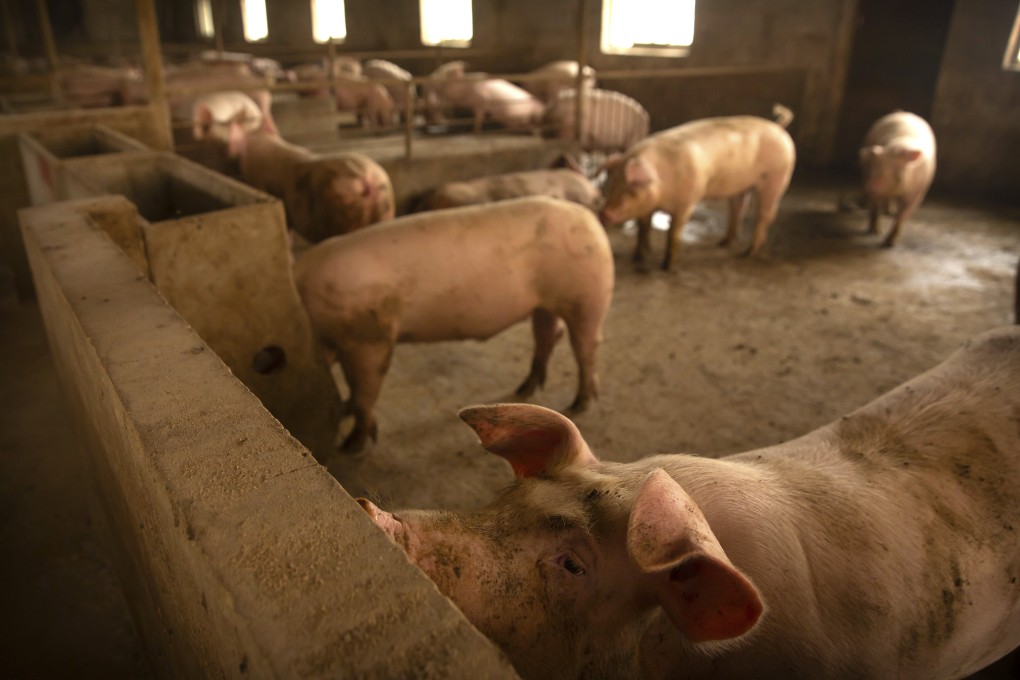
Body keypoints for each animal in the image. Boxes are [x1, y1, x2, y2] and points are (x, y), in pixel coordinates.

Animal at [293, 196, 614, 451]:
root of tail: (588, 219)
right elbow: (355, 392)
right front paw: (346, 413)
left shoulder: (369, 338)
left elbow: (364, 393)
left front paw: (351, 447)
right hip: (544, 303)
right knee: (548, 334)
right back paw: (525, 389)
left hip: (586, 296)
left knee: (585, 345)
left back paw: (579, 403)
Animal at [600, 104, 796, 271]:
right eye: (613, 182)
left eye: (633, 185)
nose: (605, 213)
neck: (663, 185)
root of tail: (778, 127)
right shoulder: (647, 206)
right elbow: (643, 229)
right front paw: (638, 258)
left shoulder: (687, 201)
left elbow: (673, 234)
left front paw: (667, 267)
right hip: (742, 186)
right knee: (737, 209)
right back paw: (724, 243)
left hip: (776, 178)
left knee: (765, 215)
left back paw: (748, 253)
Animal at [859, 111, 937, 248]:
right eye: (874, 166)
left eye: (897, 168)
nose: (873, 183)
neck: (897, 146)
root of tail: (901, 112)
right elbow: (876, 208)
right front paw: (874, 232)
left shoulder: (918, 192)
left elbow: (902, 215)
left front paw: (890, 243)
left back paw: (889, 213)